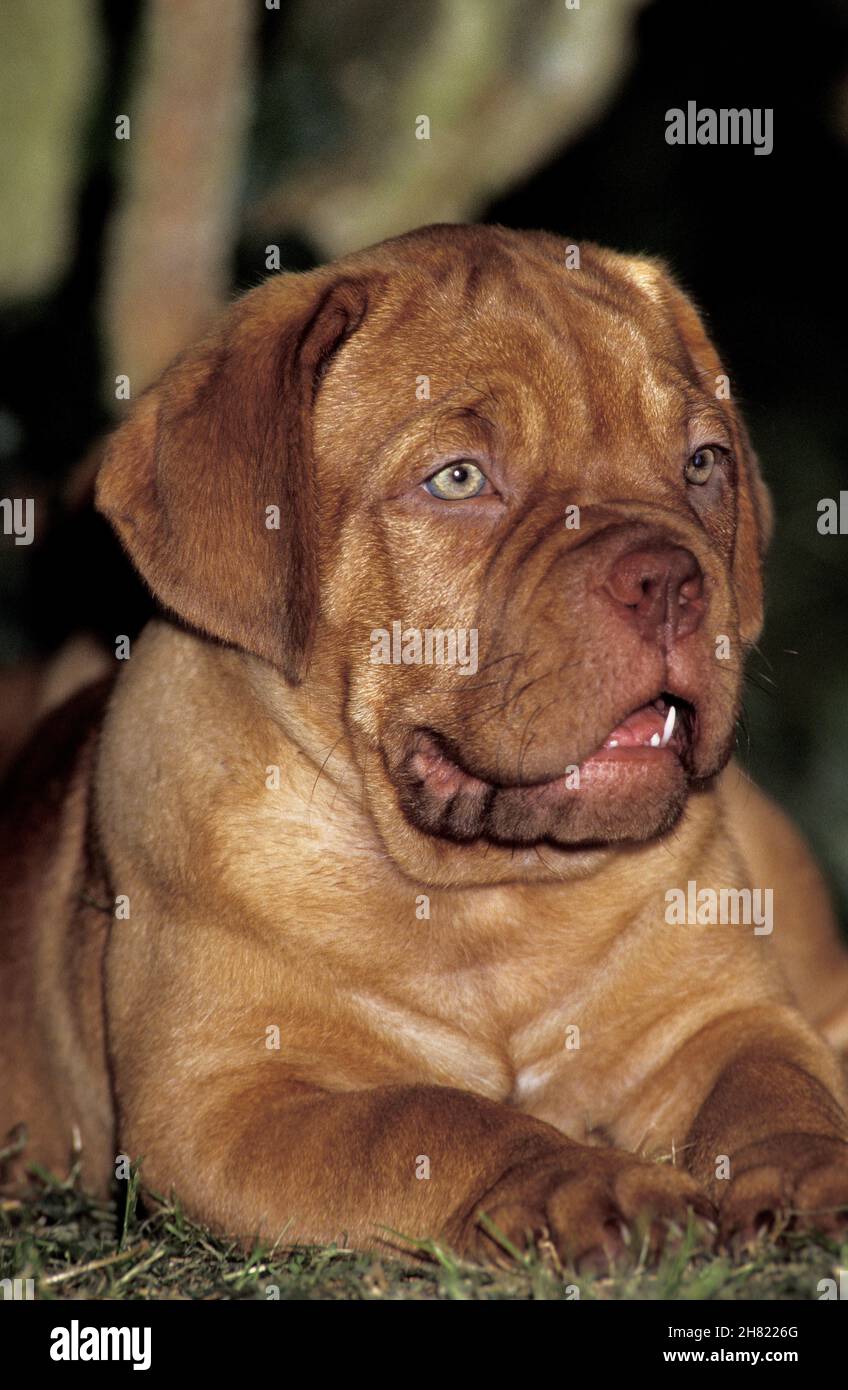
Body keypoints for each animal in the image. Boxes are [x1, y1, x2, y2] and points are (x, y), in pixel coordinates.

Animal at [1, 219, 845, 1273]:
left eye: (702, 463)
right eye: (459, 479)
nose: (669, 580)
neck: (490, 897)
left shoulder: (719, 1018)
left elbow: (779, 1087)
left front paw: (815, 1169)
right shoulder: (223, 1105)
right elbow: (432, 1121)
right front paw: (589, 1181)